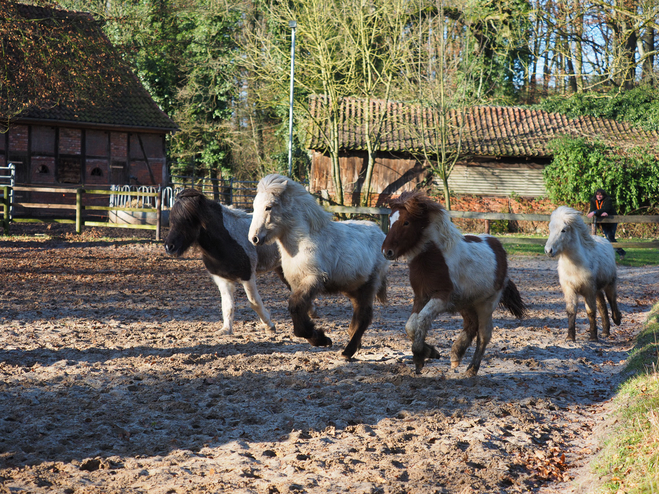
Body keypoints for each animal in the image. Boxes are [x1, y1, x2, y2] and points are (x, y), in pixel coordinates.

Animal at [250, 172, 390, 356]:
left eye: (269, 207)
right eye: (254, 206)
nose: (254, 238)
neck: (302, 243)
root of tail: (382, 234)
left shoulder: (313, 279)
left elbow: (295, 308)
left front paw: (321, 339)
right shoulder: (296, 284)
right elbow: (301, 309)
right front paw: (318, 337)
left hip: (369, 285)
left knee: (365, 316)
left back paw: (348, 351)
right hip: (354, 288)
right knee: (358, 315)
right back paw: (354, 343)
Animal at [382, 191, 524, 376]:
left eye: (406, 222)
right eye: (390, 220)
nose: (387, 251)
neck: (435, 257)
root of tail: (498, 247)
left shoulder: (442, 297)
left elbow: (422, 320)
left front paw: (419, 357)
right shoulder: (420, 296)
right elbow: (411, 326)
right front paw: (430, 352)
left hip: (486, 304)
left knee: (484, 334)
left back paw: (471, 369)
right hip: (465, 303)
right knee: (471, 325)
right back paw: (456, 355)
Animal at [544, 205, 620, 340]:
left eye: (563, 230)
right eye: (550, 228)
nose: (548, 250)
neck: (575, 266)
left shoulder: (588, 290)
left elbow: (590, 311)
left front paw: (593, 337)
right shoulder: (569, 289)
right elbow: (571, 311)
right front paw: (570, 337)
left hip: (609, 284)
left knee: (612, 301)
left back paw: (617, 320)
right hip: (597, 290)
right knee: (602, 306)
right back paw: (605, 331)